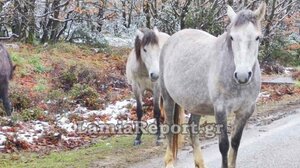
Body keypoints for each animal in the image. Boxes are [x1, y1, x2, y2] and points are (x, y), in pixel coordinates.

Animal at [159, 2, 264, 168]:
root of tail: (171, 39)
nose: (242, 75)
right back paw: (169, 162)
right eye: (232, 37)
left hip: (195, 103)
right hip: (168, 97)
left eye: (257, 37)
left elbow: (235, 143)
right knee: (170, 127)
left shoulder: (245, 111)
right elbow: (224, 145)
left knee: (192, 126)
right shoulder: (220, 110)